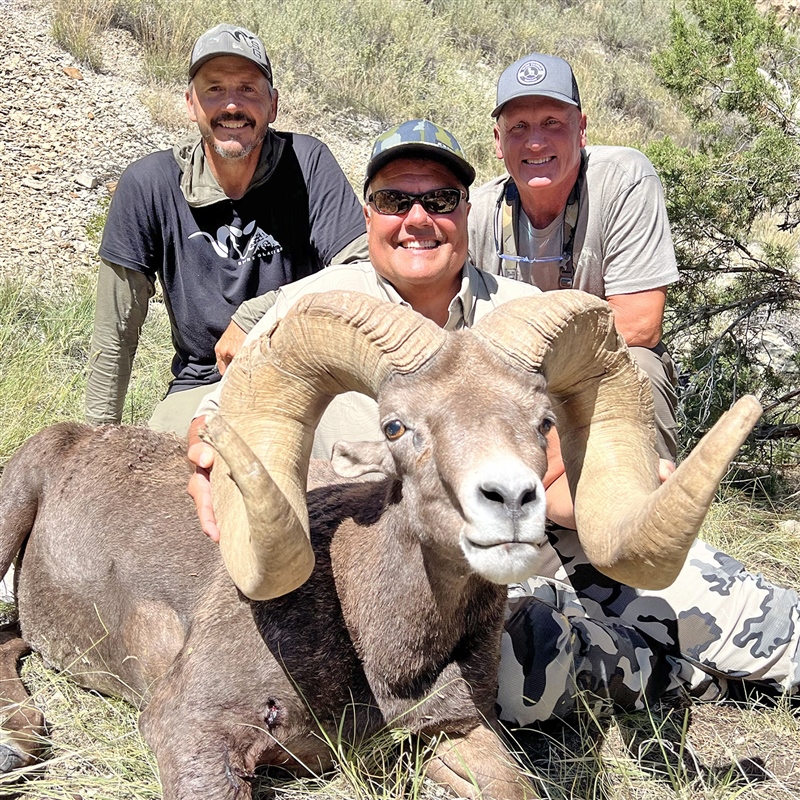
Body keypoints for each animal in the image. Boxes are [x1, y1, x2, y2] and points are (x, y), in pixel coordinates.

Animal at [0, 291, 761, 800]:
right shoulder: (189, 727)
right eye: (397, 427)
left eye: (544, 422)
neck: (380, 648)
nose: (512, 500)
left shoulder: (456, 732)